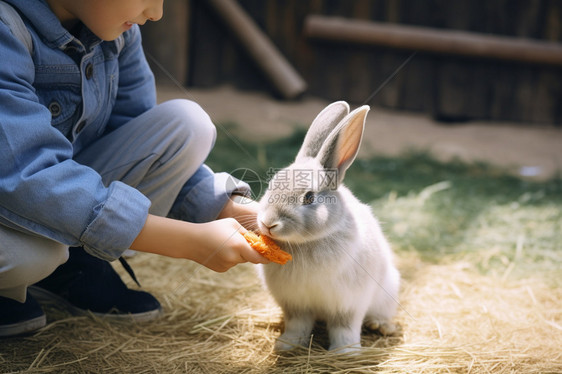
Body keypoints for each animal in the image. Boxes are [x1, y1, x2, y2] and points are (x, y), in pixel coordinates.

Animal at [256, 101, 400, 352]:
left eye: (309, 197)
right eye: (271, 186)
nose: (268, 222)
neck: (306, 243)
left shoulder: (348, 304)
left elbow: (344, 327)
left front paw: (345, 352)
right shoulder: (295, 304)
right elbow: (297, 325)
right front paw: (286, 345)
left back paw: (381, 326)